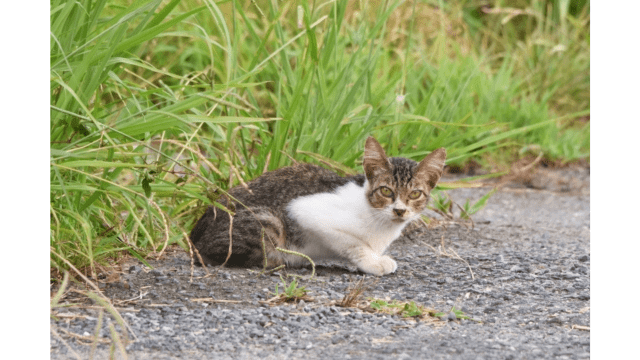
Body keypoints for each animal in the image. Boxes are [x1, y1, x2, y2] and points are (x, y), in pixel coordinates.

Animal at [190, 136, 444, 278]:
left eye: (415, 194)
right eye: (386, 191)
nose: (399, 210)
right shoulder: (306, 211)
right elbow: (354, 243)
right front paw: (373, 262)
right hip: (269, 221)